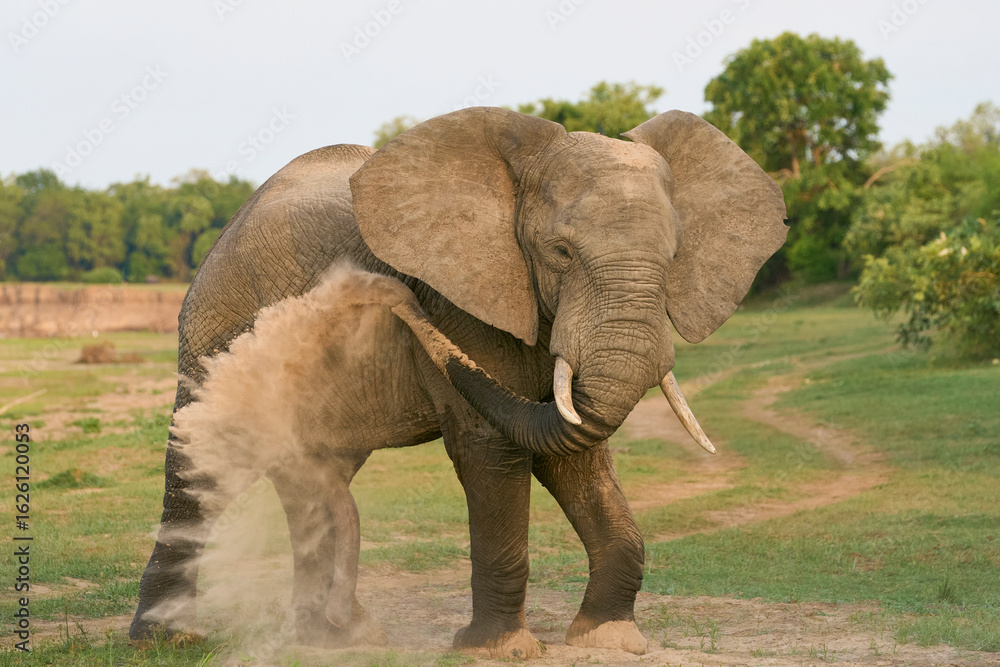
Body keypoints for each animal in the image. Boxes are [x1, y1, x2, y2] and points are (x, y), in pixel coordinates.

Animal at [130, 107, 787, 658]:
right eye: (560, 252)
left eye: (674, 257)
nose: (385, 291)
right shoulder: (459, 300)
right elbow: (494, 446)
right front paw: (501, 650)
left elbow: (576, 448)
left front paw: (610, 639)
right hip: (217, 323)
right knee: (200, 467)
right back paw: (166, 640)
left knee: (317, 478)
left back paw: (335, 637)